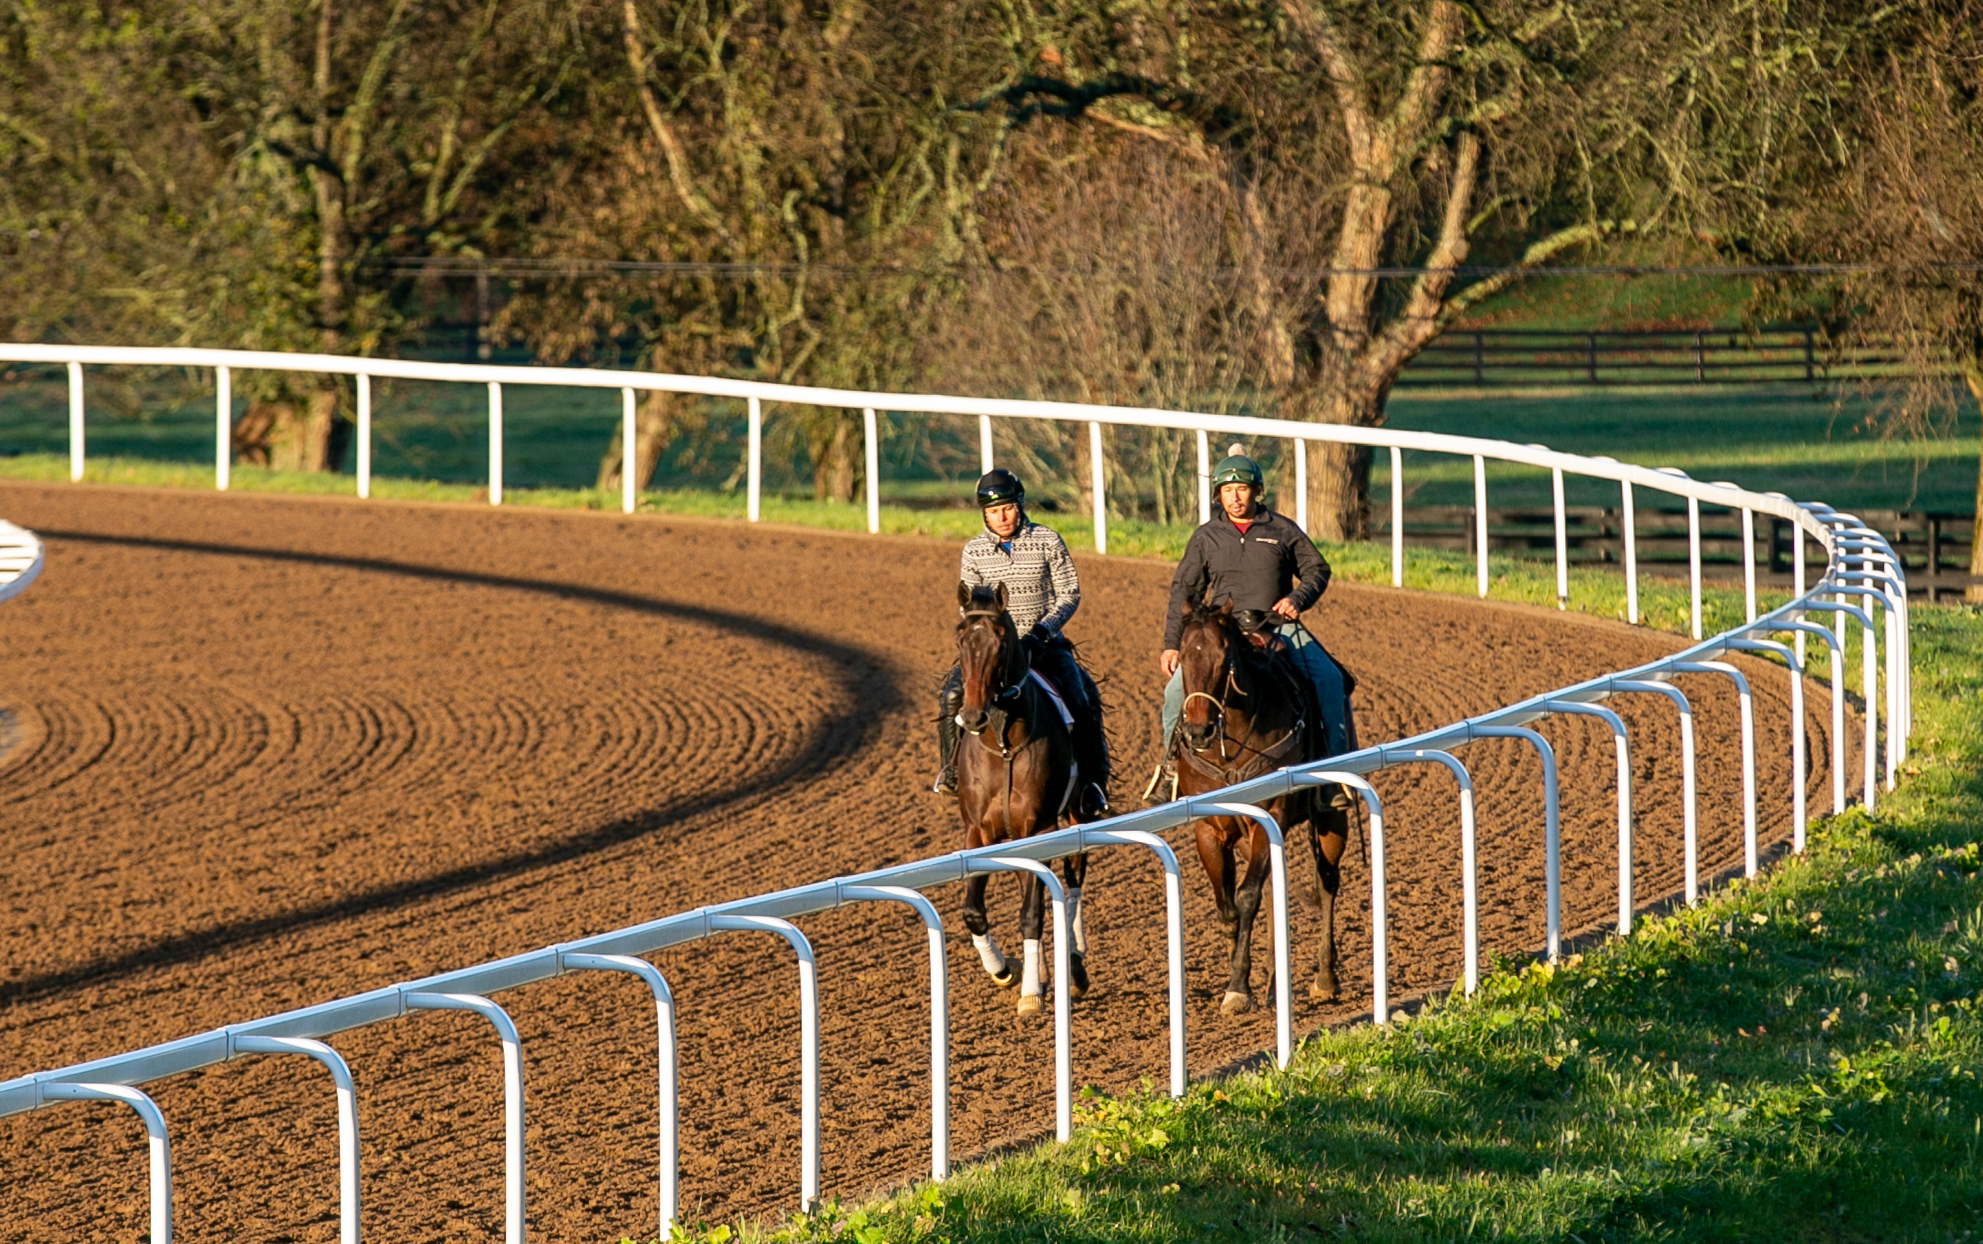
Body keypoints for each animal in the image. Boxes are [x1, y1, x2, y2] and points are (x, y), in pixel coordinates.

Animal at [947, 583, 1094, 1011]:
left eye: (1000, 640)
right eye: (960, 638)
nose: (973, 716)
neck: (1004, 746)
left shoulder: (1039, 828)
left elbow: (1032, 912)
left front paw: (1030, 994)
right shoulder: (978, 832)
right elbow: (973, 911)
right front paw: (1004, 970)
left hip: (1078, 815)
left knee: (1073, 881)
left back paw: (1074, 961)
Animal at [1166, 599, 1356, 1015]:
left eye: (1224, 657)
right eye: (1183, 657)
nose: (1199, 732)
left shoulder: (1270, 817)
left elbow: (1247, 897)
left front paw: (1238, 987)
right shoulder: (1210, 829)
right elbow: (1228, 907)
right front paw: (1242, 979)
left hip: (1332, 819)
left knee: (1327, 883)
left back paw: (1325, 978)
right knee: (1273, 892)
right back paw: (1273, 983)